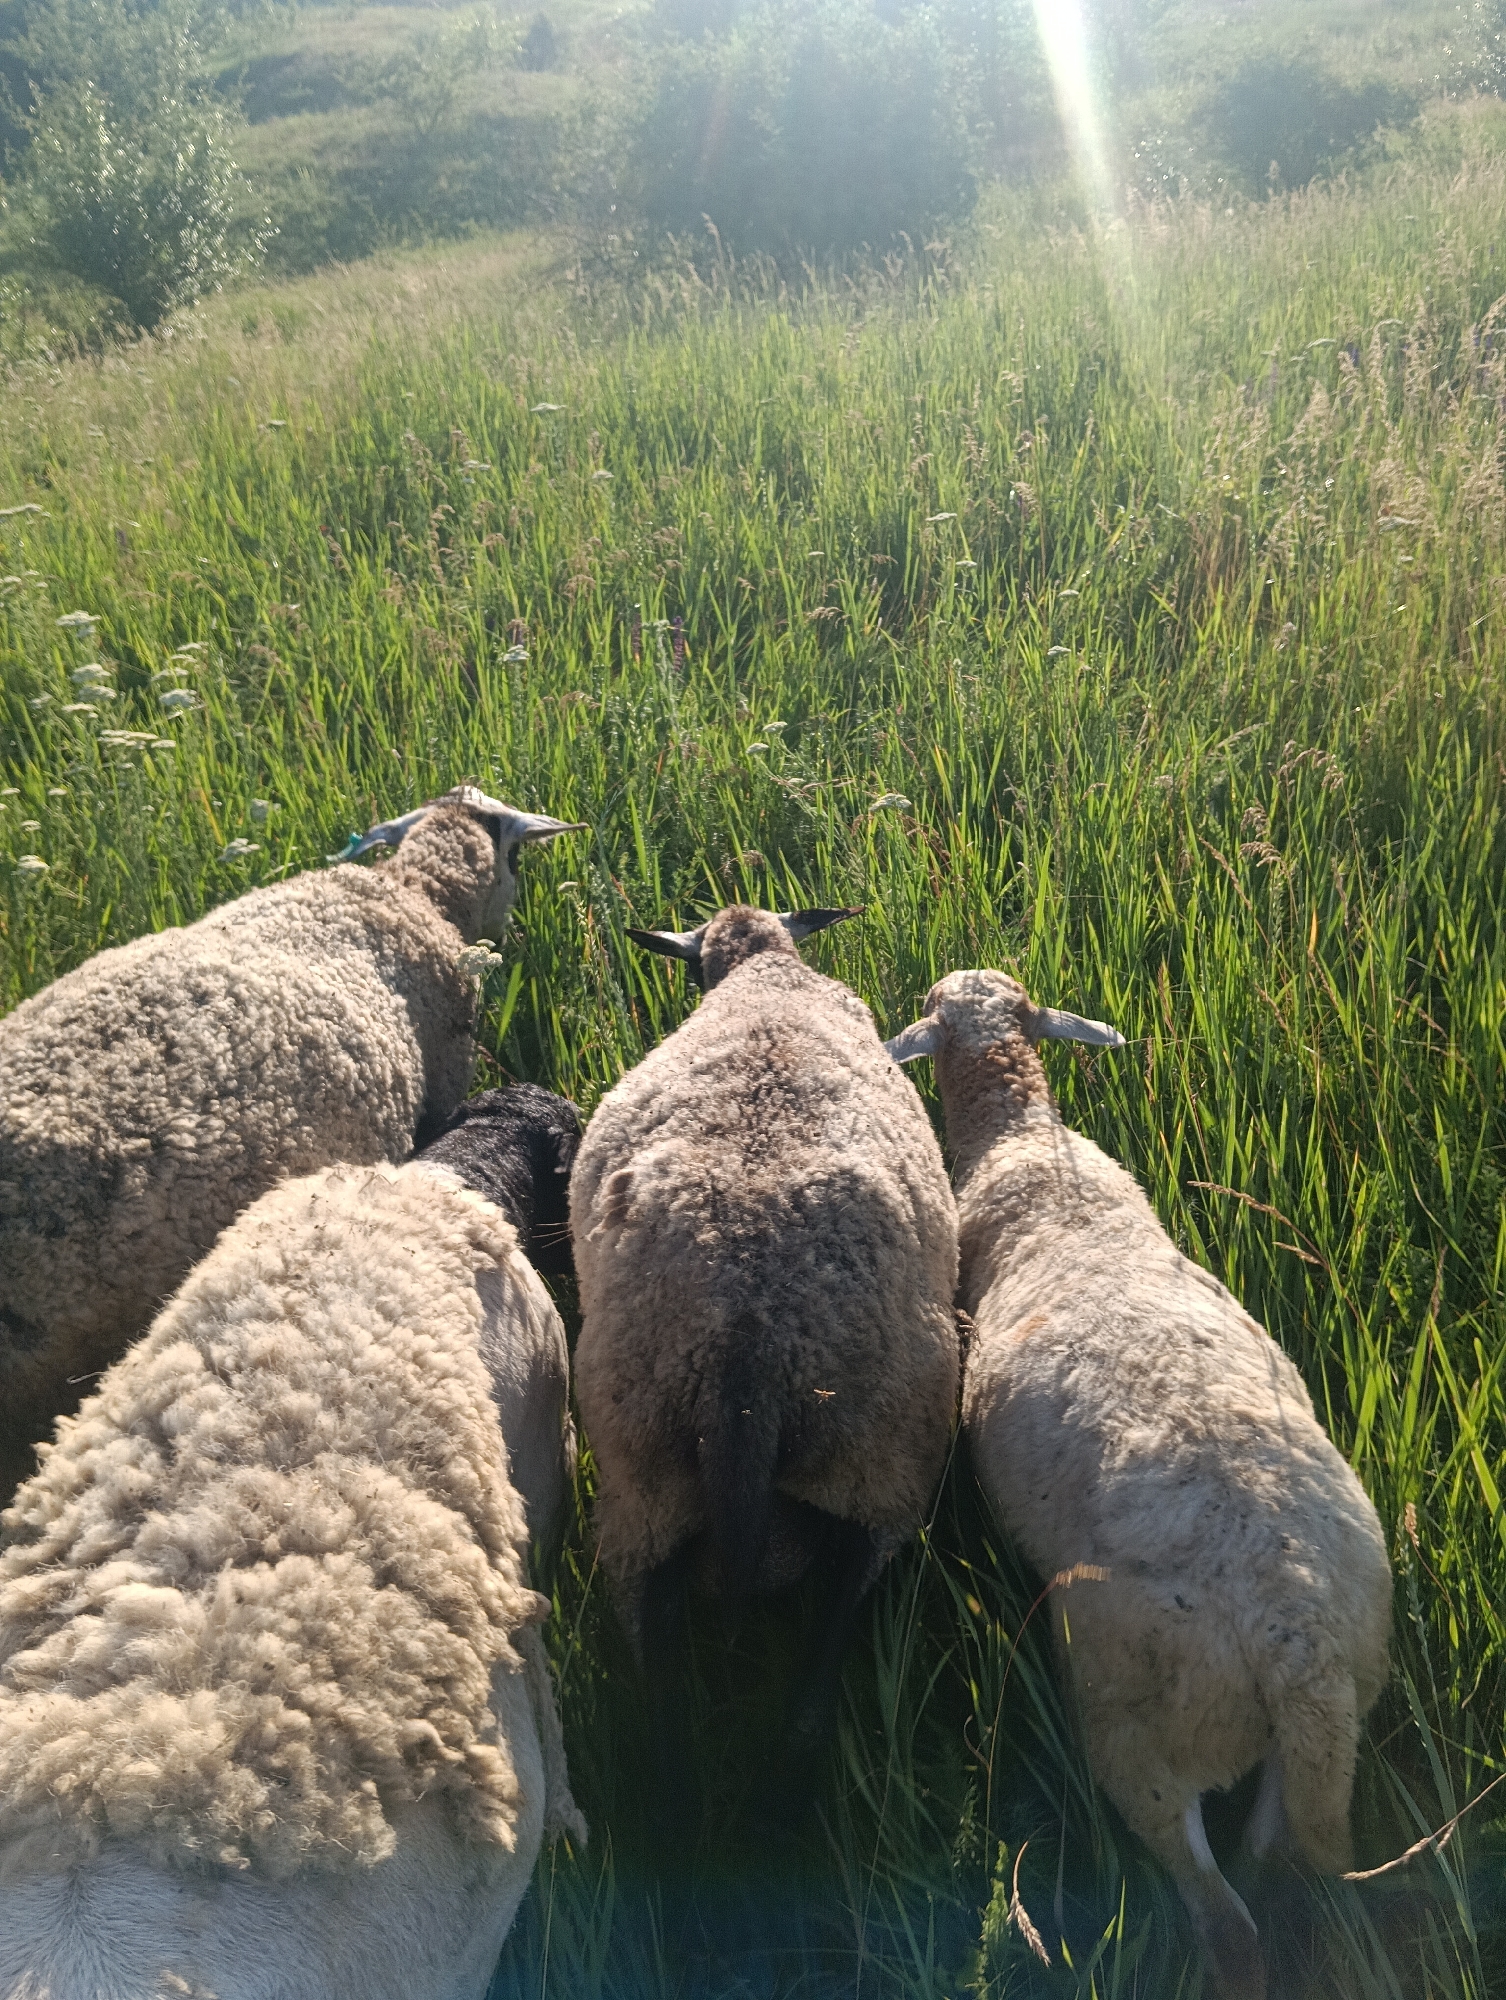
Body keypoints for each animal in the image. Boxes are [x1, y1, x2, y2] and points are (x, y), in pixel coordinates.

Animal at [571, 904, 960, 1825]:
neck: (762, 971)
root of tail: (744, 1351)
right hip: (875, 1471)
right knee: (808, 1703)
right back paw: (776, 1818)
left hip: (648, 1489)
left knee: (669, 1722)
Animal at [886, 970, 1393, 2000]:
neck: (1024, 1141)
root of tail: (1300, 1645)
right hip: (1325, 1723)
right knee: (1268, 1869)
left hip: (1138, 1720)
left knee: (1226, 1919)